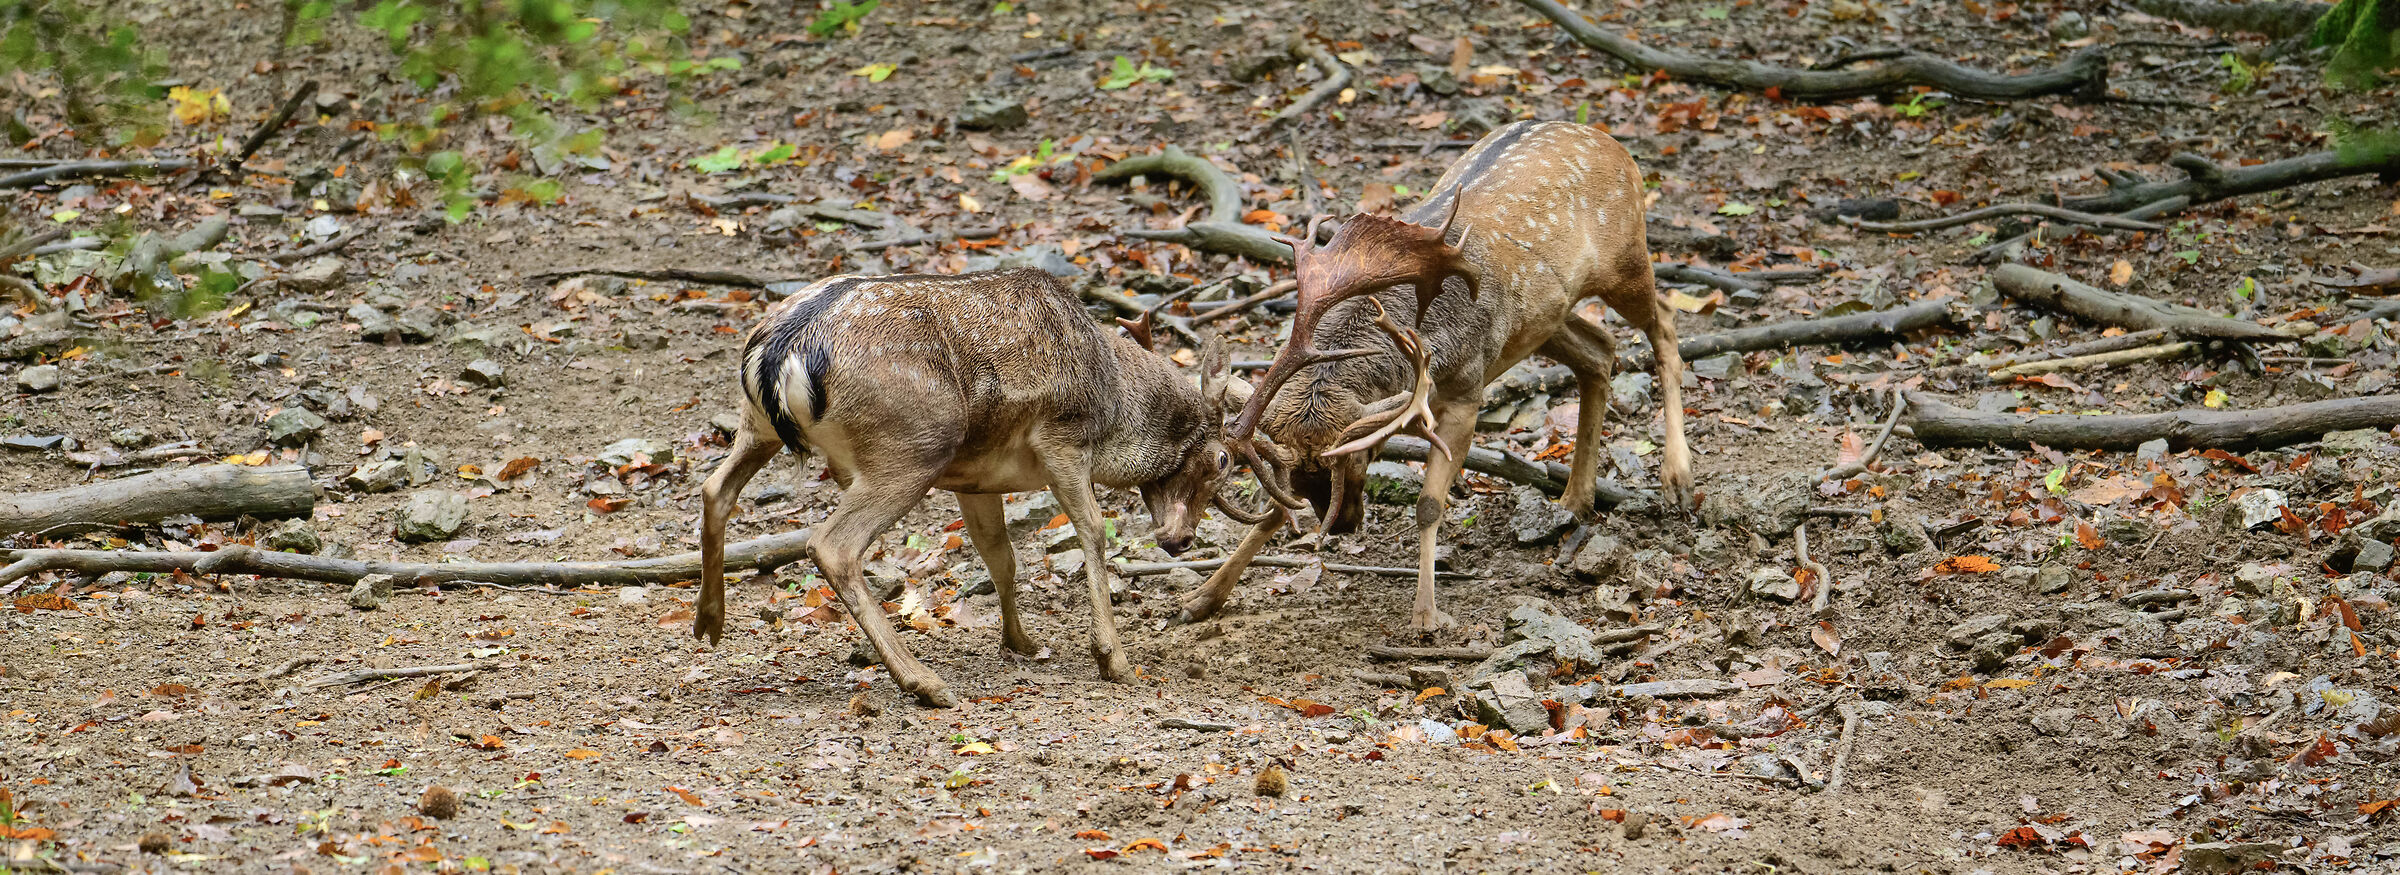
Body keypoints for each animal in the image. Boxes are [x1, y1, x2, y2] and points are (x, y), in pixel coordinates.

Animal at [695, 268, 1247, 708]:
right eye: (1223, 461)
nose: (1181, 541)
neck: (1114, 406)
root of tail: (777, 353)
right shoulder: (1063, 437)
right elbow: (1092, 529)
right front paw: (1114, 661)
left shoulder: (977, 479)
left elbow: (999, 555)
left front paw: (1023, 642)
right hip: (914, 446)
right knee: (831, 544)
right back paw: (926, 684)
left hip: (759, 427)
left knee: (714, 487)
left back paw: (708, 623)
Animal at [1186, 119, 1694, 633]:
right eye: (1296, 471)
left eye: (1355, 456)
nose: (1344, 525)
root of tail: (1610, 142)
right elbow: (1273, 510)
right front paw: (1203, 597)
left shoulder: (1467, 392)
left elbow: (1429, 505)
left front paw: (1426, 614)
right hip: (1544, 320)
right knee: (1600, 351)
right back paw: (1575, 499)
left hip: (1626, 260)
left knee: (1666, 321)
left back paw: (1678, 477)